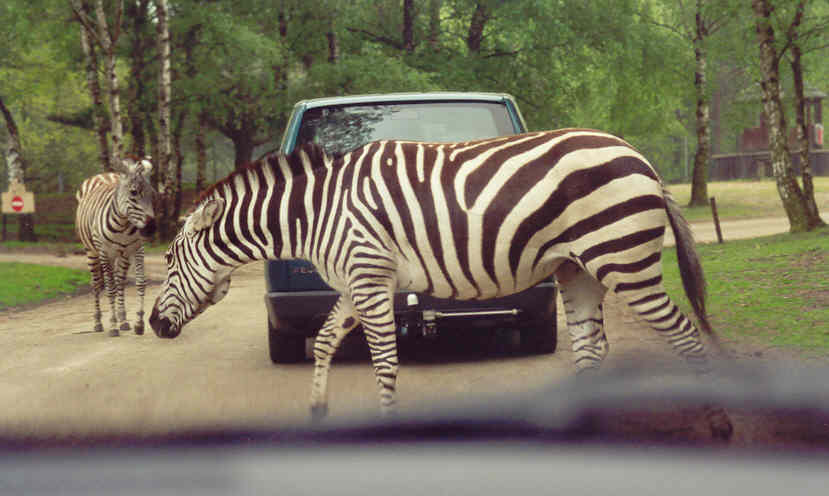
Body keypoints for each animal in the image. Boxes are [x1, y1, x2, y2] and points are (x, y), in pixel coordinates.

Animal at [77, 157, 158, 338]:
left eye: (153, 193)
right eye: (133, 193)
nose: (151, 229)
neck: (123, 223)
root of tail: (103, 175)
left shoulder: (137, 249)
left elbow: (140, 283)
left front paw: (139, 323)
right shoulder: (104, 252)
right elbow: (110, 288)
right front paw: (112, 326)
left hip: (122, 254)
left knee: (120, 281)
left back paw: (123, 320)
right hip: (92, 252)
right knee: (97, 284)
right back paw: (98, 322)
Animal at [149, 130, 732, 440]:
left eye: (171, 259)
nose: (153, 324)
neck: (318, 213)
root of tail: (641, 158)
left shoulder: (369, 276)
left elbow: (384, 362)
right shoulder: (357, 281)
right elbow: (325, 340)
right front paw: (317, 409)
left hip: (621, 260)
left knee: (683, 333)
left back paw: (720, 422)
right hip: (579, 268)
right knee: (591, 347)